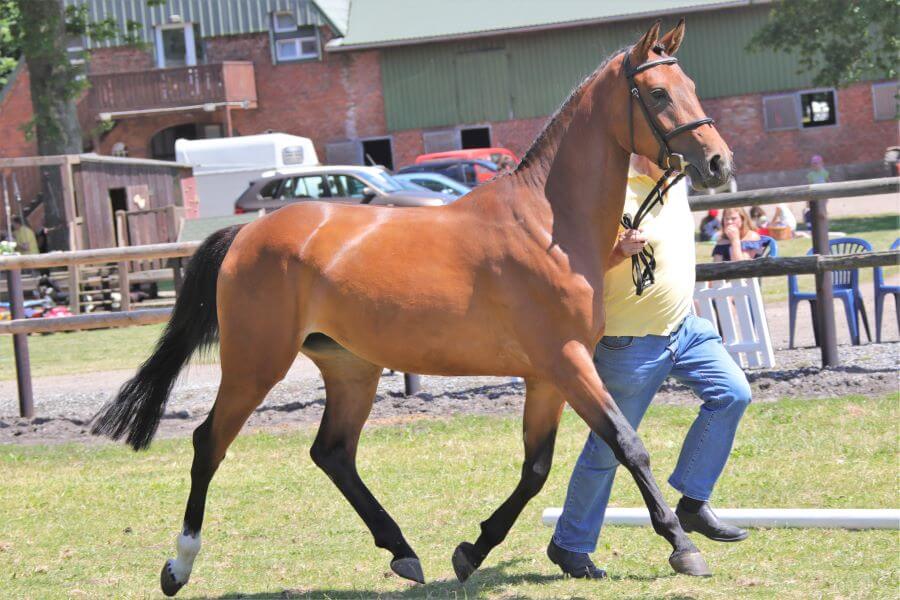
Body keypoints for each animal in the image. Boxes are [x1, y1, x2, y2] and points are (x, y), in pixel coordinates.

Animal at [95, 18, 736, 596]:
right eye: (658, 93)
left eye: (691, 85)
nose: (718, 163)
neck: (548, 223)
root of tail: (246, 234)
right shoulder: (566, 360)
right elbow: (628, 444)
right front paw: (683, 545)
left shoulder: (548, 375)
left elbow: (536, 469)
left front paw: (471, 551)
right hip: (256, 363)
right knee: (210, 443)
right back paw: (179, 566)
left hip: (351, 367)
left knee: (333, 452)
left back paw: (403, 551)